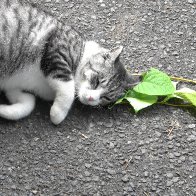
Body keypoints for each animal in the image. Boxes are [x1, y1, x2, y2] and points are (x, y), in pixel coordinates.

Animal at [0, 0, 139, 125]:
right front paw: (57, 114)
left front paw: (3, 110)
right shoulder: (57, 52)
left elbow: (28, 103)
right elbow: (68, 90)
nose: (91, 98)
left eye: (106, 98)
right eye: (97, 81)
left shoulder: (15, 87)